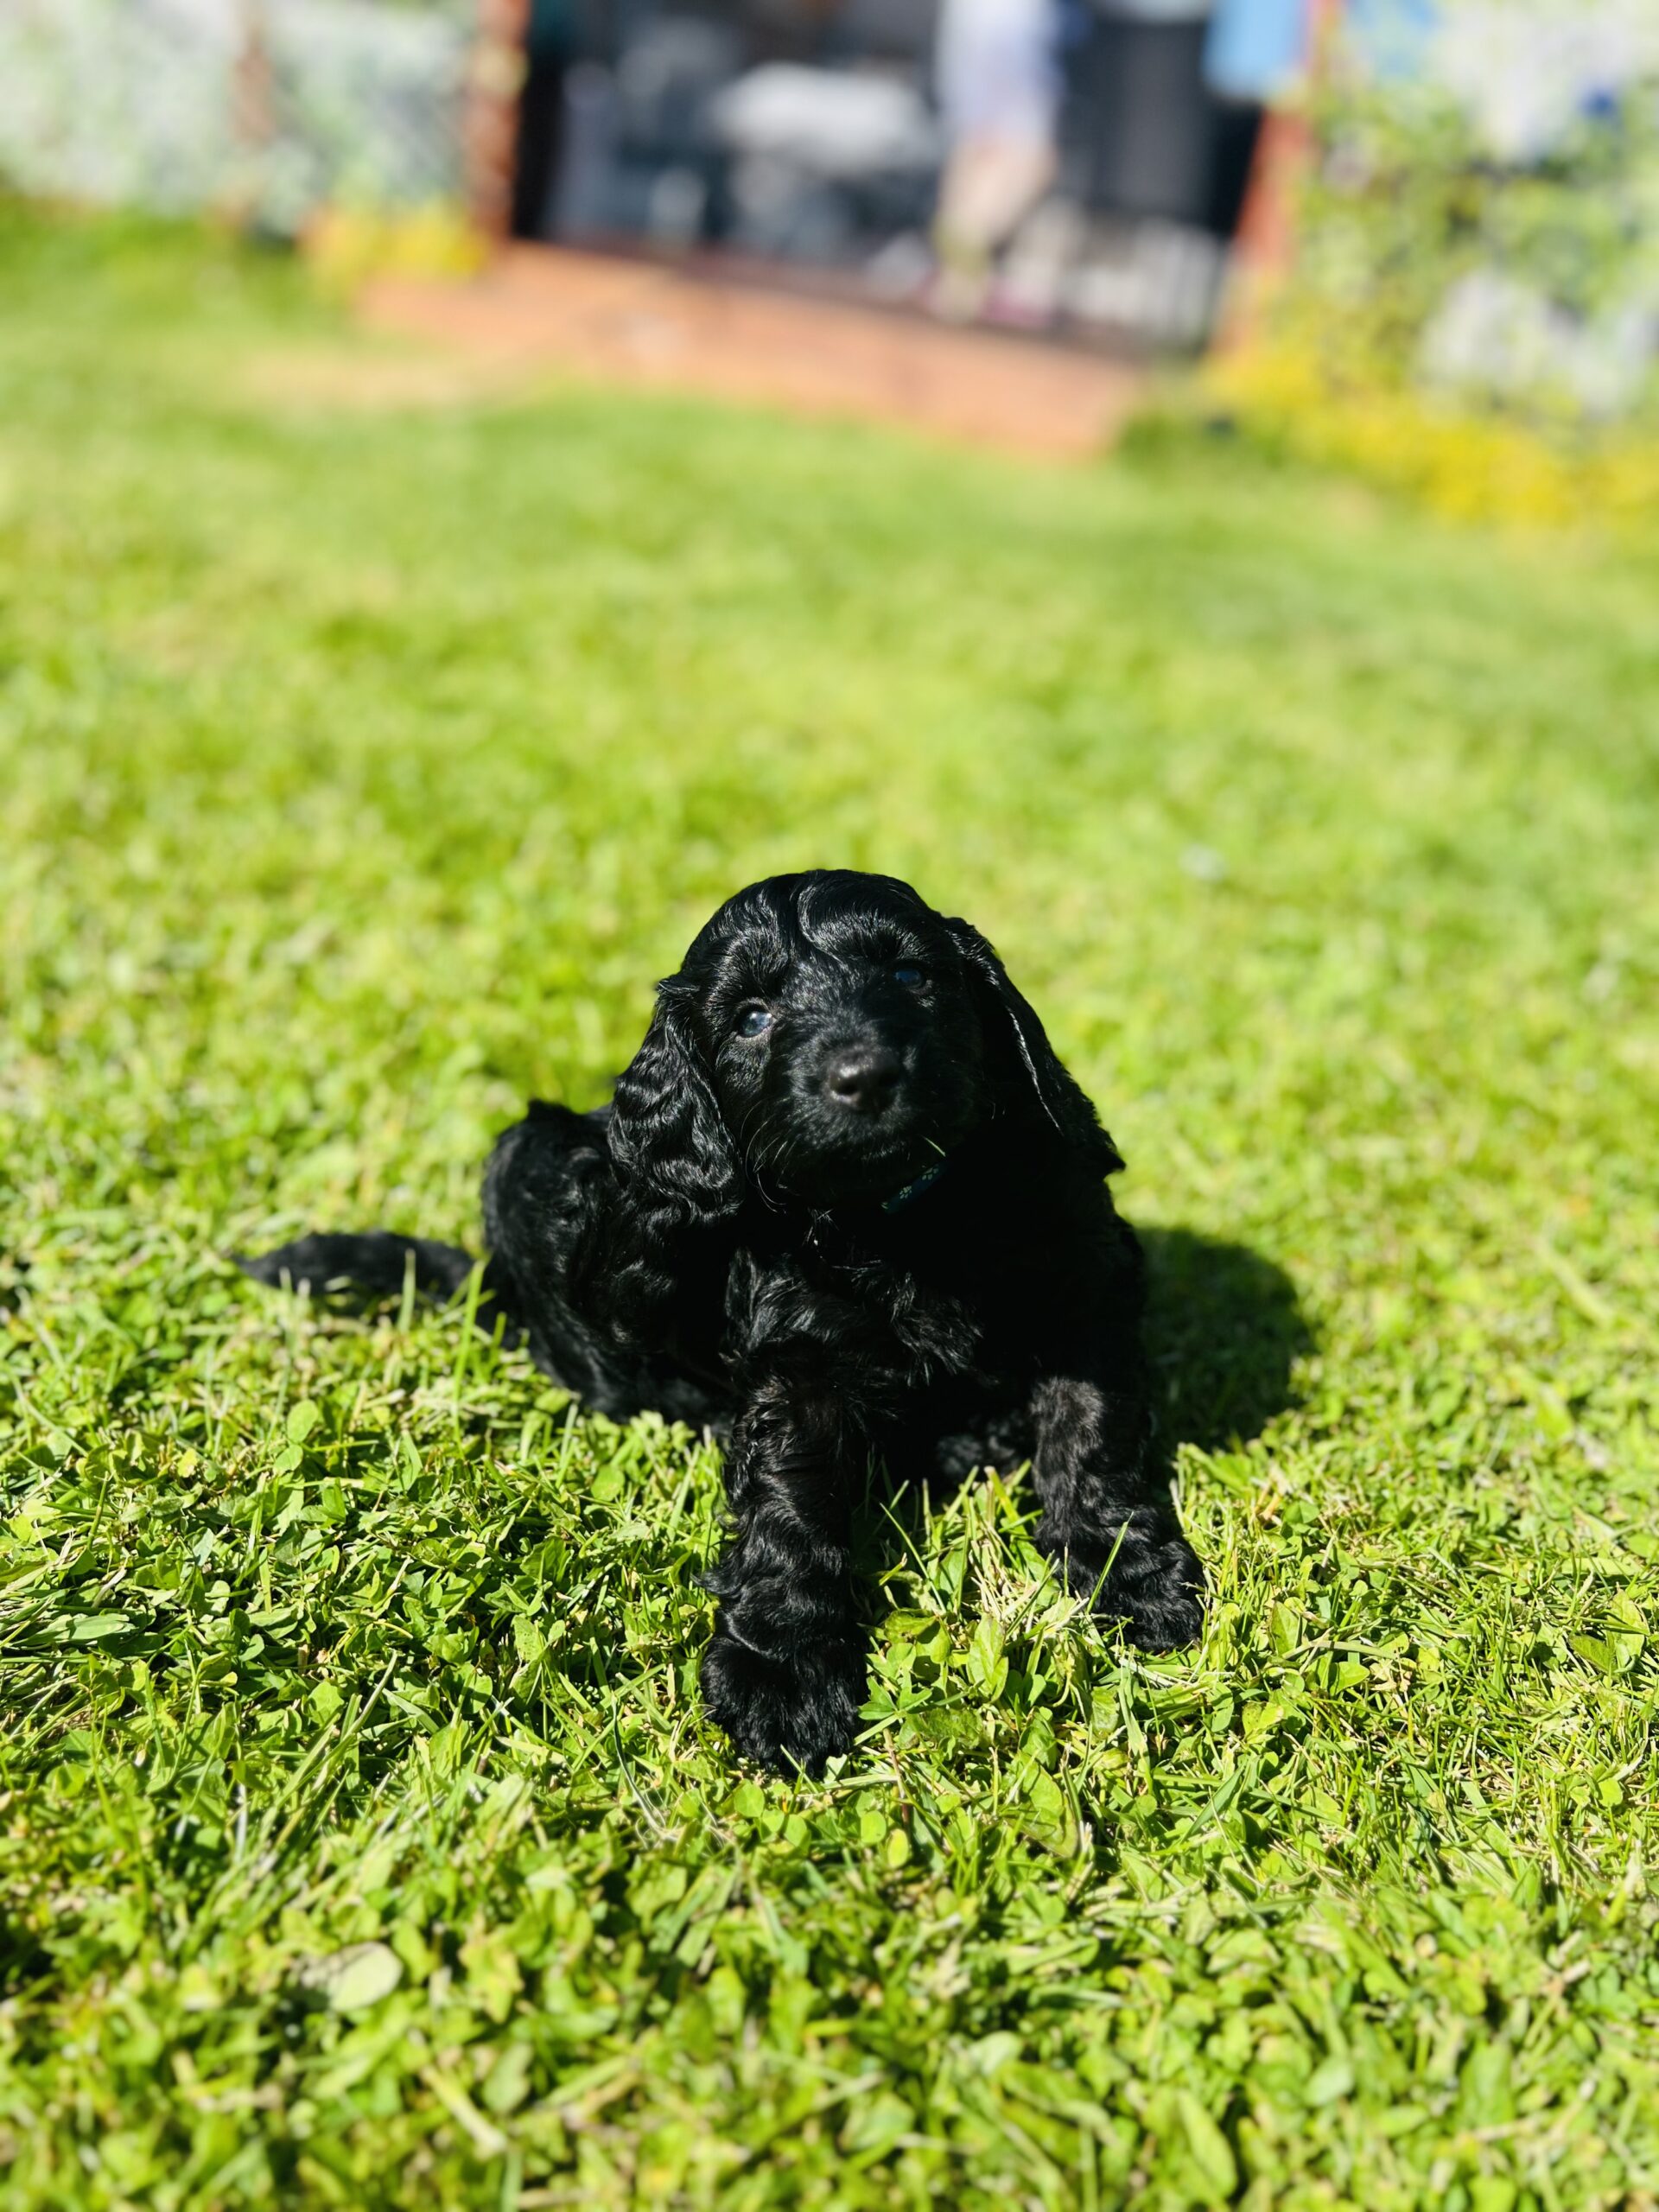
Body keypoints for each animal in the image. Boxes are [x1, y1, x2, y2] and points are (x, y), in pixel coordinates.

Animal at [243, 871, 1211, 1770]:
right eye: (750, 1019)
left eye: (909, 973)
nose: (865, 1077)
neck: (898, 1222)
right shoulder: (794, 1354)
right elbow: (789, 1506)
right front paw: (783, 1669)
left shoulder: (1082, 1276)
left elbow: (1091, 1435)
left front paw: (1126, 1574)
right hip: (548, 1161)